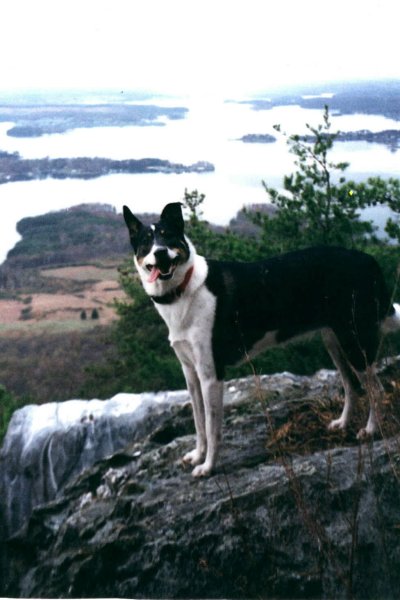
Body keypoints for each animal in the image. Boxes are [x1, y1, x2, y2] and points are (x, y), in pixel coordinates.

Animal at [123, 204, 400, 476]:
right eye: (146, 242)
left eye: (168, 236)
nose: (160, 253)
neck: (184, 290)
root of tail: (367, 259)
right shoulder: (191, 374)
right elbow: (199, 423)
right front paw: (197, 455)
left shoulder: (211, 375)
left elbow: (212, 428)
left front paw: (209, 466)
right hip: (335, 341)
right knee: (351, 385)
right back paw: (342, 423)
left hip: (355, 342)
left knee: (376, 389)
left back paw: (371, 430)